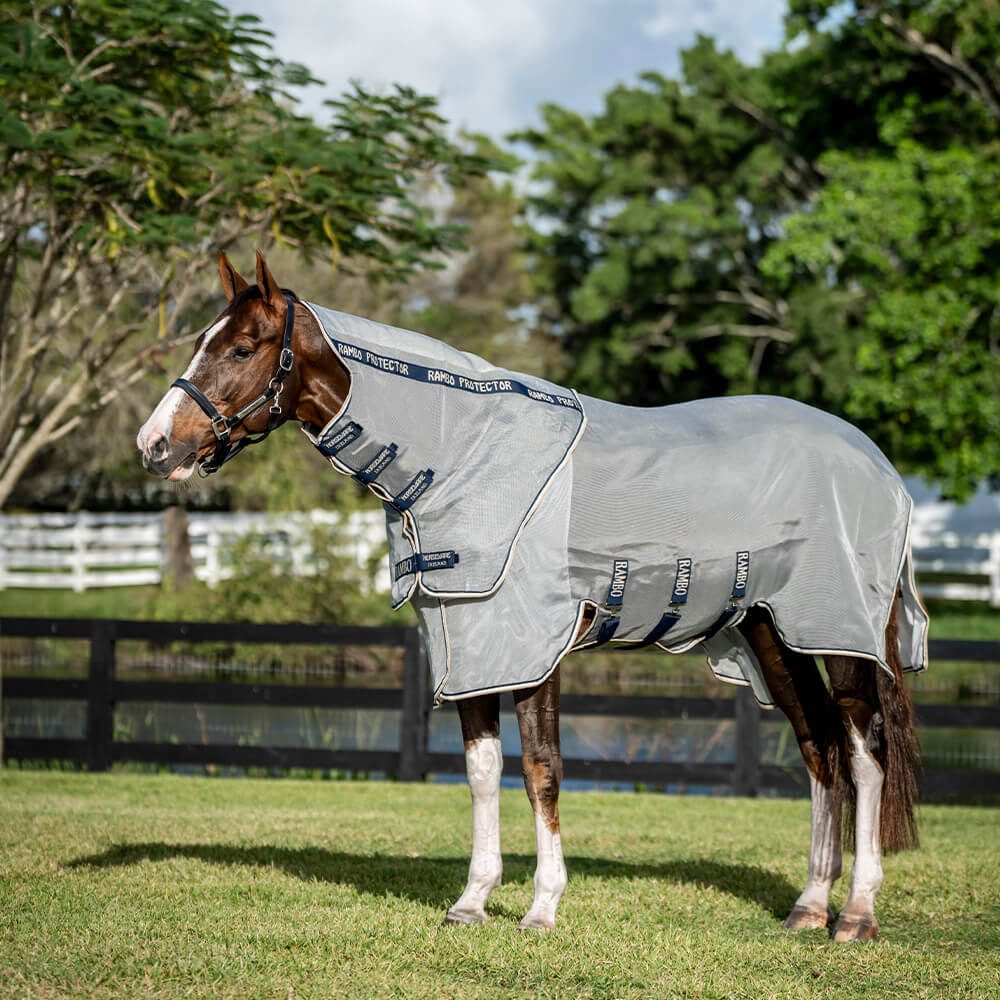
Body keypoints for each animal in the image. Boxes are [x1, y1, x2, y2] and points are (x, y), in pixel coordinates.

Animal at [137, 250, 928, 941]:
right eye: (206, 341)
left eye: (242, 348)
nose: (155, 445)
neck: (462, 454)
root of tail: (881, 467)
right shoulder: (470, 644)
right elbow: (483, 771)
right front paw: (472, 901)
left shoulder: (534, 649)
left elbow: (543, 770)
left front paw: (542, 908)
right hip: (773, 634)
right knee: (819, 747)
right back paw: (809, 907)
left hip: (841, 637)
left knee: (865, 753)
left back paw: (857, 914)